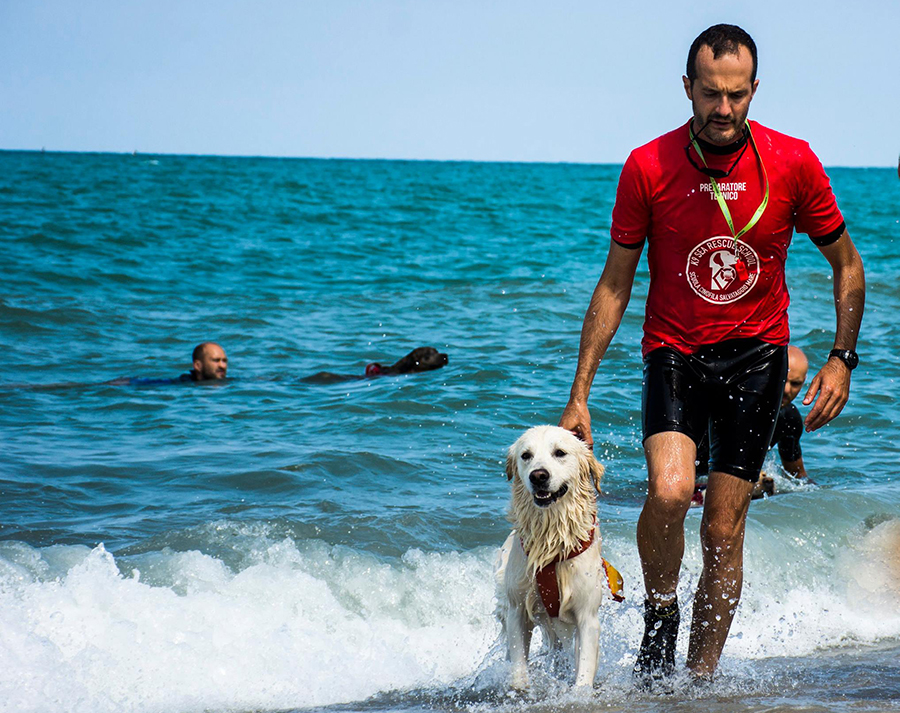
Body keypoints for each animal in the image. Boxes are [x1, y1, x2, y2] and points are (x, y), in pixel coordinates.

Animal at [496, 426, 616, 688]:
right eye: (526, 455)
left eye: (559, 453)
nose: (538, 476)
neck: (550, 542)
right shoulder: (517, 608)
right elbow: (518, 666)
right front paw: (519, 688)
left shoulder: (587, 616)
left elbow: (584, 672)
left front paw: (579, 692)